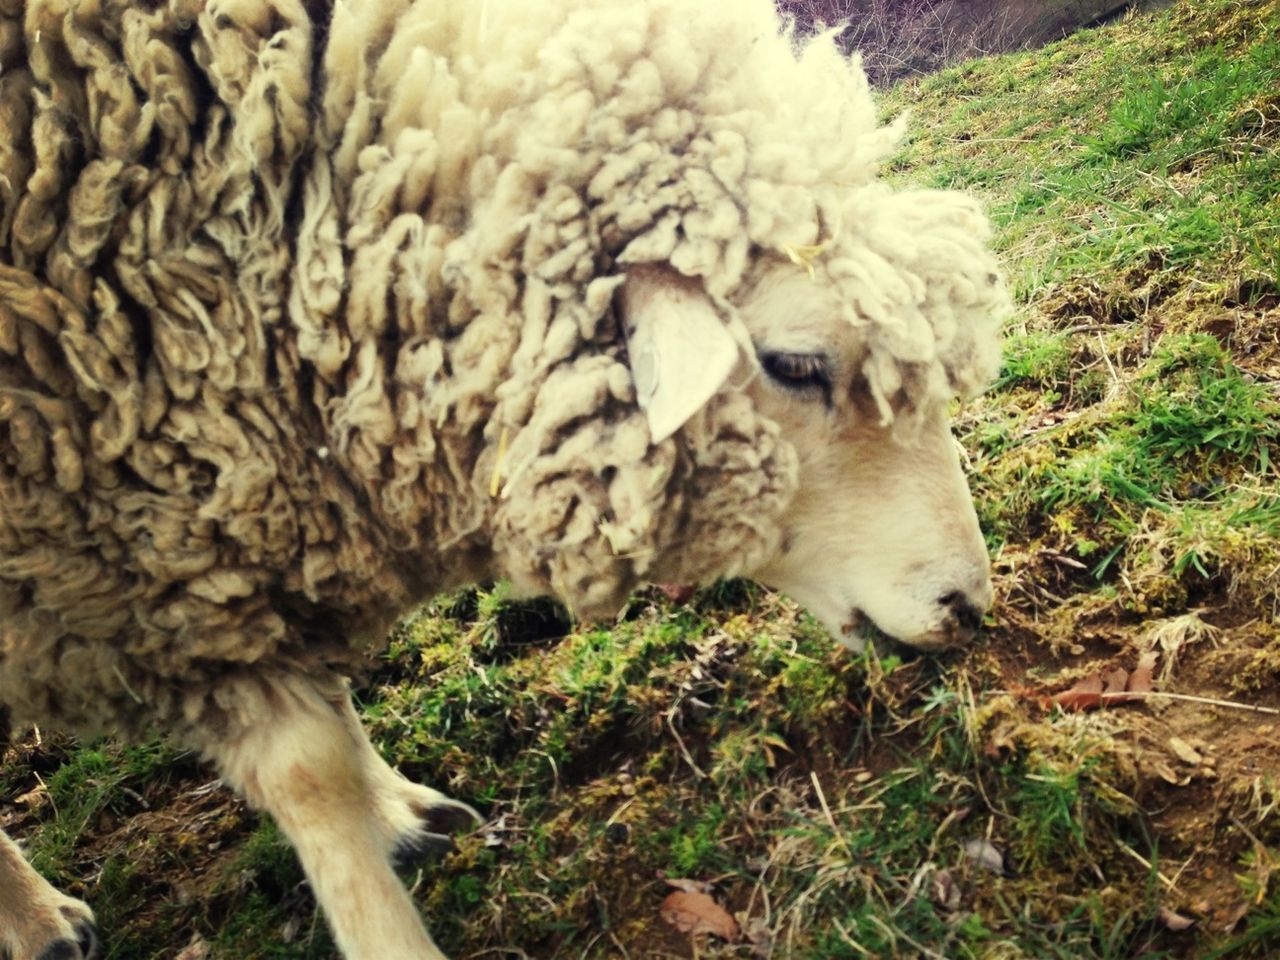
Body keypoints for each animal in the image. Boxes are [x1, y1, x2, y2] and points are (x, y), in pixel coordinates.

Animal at [0, 0, 1008, 957]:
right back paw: (43, 923)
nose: (966, 605)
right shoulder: (174, 570)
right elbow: (310, 777)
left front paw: (399, 813)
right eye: (797, 364)